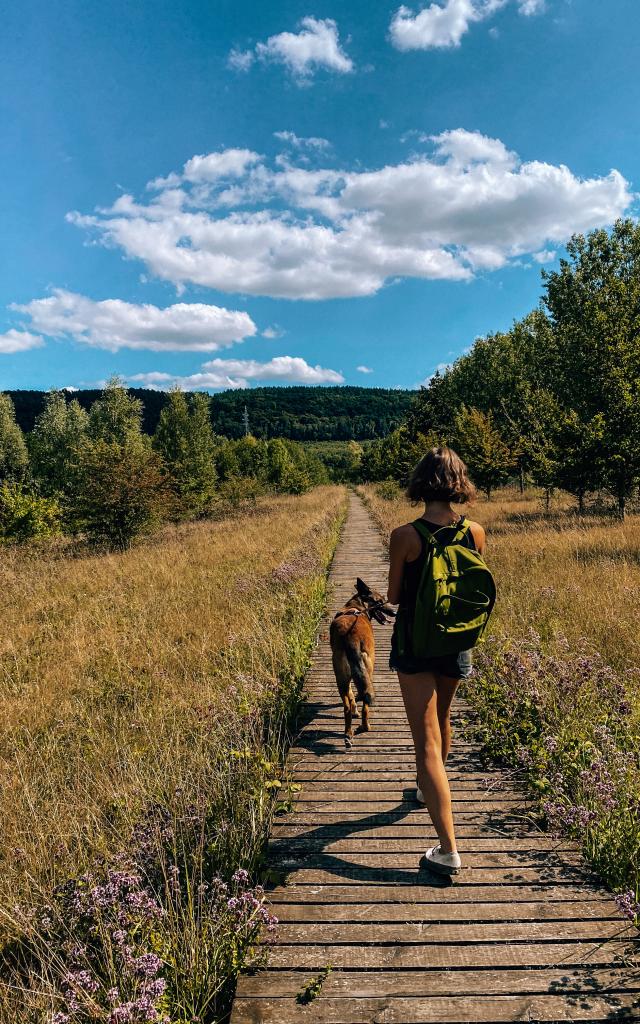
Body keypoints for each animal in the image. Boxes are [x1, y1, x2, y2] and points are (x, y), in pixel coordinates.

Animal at [329, 581, 395, 749]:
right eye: (379, 601)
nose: (394, 613)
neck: (357, 607)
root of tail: (351, 639)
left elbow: (352, 695)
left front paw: (354, 708)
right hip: (367, 669)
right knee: (365, 705)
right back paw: (364, 727)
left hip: (341, 678)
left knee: (347, 706)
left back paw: (348, 734)